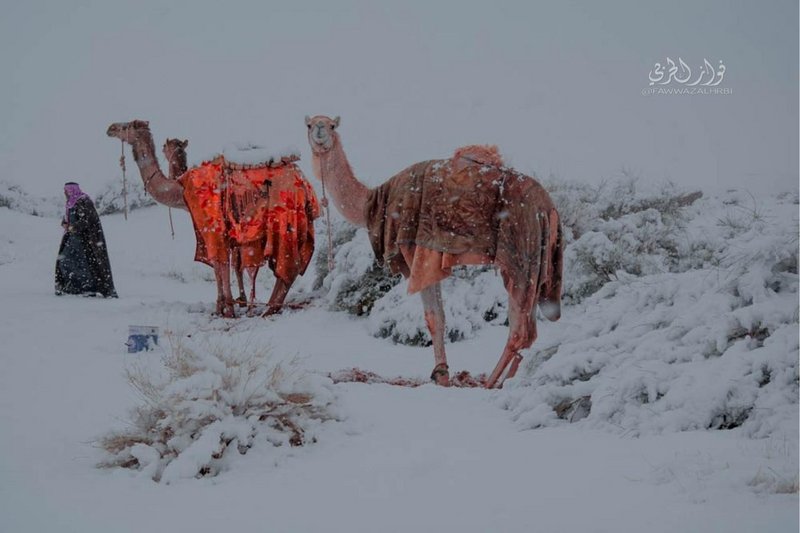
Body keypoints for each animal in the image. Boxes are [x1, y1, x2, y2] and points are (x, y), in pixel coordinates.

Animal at [108, 119, 318, 316]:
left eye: (127, 126)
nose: (110, 128)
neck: (181, 189)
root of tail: (304, 183)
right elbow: (223, 266)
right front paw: (224, 306)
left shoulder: (212, 225)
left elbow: (220, 264)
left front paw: (227, 310)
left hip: (284, 216)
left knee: (289, 266)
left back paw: (268, 310)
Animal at [306, 114, 564, 386]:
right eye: (309, 125)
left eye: (331, 125)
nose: (320, 130)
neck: (374, 201)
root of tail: (550, 209)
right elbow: (439, 316)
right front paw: (442, 374)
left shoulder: (417, 253)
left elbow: (433, 318)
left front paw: (442, 377)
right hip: (538, 267)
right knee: (529, 331)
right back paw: (505, 381)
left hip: (522, 258)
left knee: (519, 330)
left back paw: (490, 383)